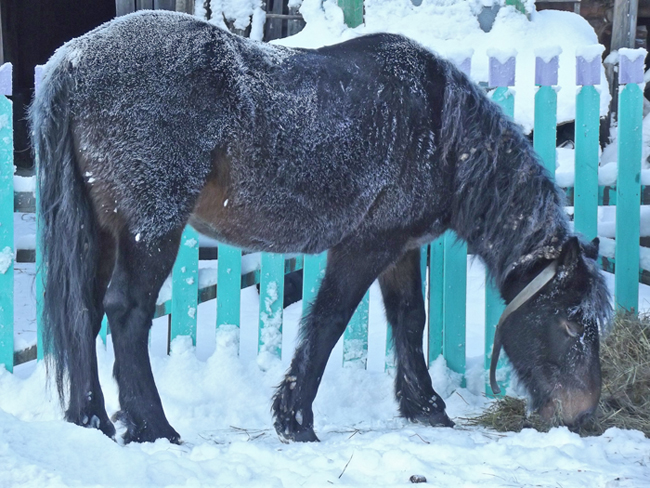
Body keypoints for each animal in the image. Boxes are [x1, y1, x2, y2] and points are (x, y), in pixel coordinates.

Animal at [30, 10, 608, 446]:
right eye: (570, 323)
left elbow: (409, 319)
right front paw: (295, 419)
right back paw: (152, 426)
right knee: (126, 312)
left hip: (104, 230)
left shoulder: (399, 249)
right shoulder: (364, 247)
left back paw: (92, 420)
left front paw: (425, 406)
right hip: (152, 227)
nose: (583, 413)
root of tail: (73, 58)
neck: (443, 134)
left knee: (84, 311)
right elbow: (328, 322)